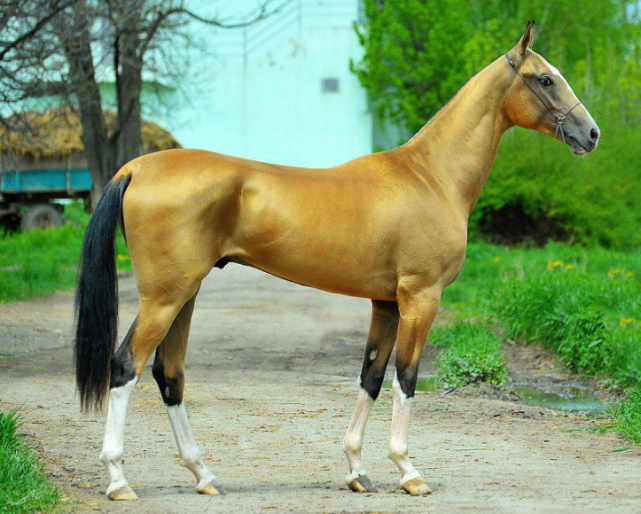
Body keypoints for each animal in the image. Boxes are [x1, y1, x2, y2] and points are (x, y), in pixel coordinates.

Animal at [74, 21, 599, 500]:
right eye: (545, 79)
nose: (591, 133)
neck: (432, 176)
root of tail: (135, 167)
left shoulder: (385, 304)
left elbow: (370, 378)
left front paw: (357, 471)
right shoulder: (421, 298)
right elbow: (406, 379)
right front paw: (408, 472)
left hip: (184, 295)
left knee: (169, 374)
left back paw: (204, 476)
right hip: (164, 298)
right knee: (125, 367)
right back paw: (119, 480)